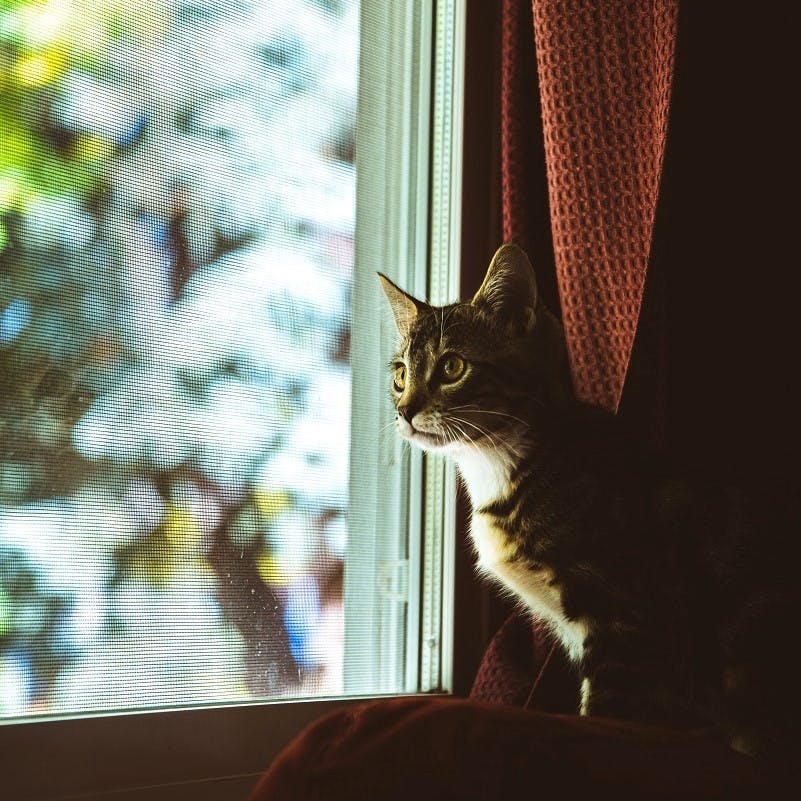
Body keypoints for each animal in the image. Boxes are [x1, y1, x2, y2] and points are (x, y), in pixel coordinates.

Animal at [378, 242, 796, 768]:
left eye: (452, 366)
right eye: (399, 374)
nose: (404, 410)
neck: (509, 464)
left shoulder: (623, 619)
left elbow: (605, 716)